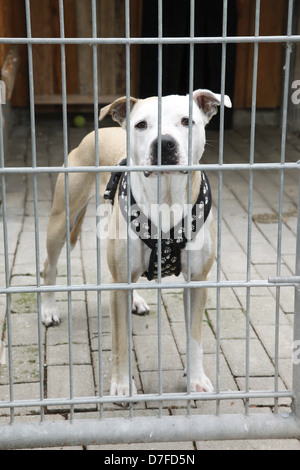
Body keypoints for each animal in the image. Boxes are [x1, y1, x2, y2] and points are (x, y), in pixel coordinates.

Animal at [41, 88, 231, 396]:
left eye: (186, 121)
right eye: (141, 125)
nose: (164, 143)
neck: (165, 198)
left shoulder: (198, 282)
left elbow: (195, 339)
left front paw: (196, 379)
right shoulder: (118, 286)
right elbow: (120, 343)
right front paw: (121, 385)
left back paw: (136, 300)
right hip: (62, 220)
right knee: (49, 265)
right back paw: (48, 310)